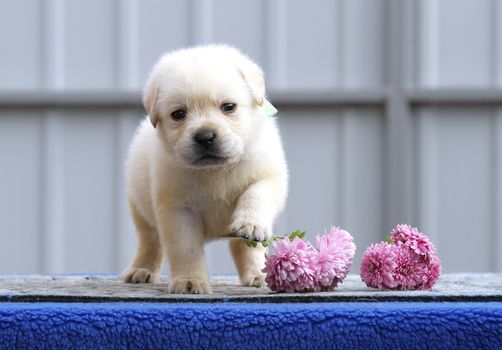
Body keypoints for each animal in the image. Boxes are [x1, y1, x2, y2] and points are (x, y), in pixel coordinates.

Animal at [120, 45, 286, 294]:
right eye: (179, 114)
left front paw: (251, 223)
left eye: (228, 107)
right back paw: (141, 270)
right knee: (150, 243)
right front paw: (190, 281)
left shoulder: (268, 177)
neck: (215, 171)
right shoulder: (178, 212)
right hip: (140, 211)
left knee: (245, 248)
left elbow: (256, 195)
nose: (205, 137)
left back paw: (258, 274)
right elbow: (186, 250)